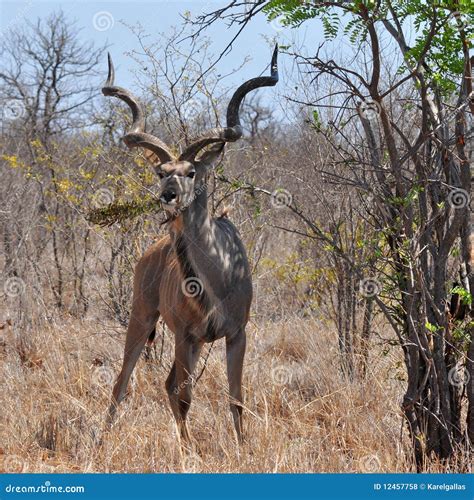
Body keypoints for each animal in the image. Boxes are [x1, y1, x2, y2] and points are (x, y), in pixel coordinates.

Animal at [103, 45, 278, 440]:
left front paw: (243, 447)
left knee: (163, 384)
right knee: (123, 382)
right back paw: (100, 442)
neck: (219, 274)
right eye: (161, 172)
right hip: (143, 317)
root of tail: (149, 253)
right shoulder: (185, 334)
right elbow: (185, 397)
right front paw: (190, 450)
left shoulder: (236, 334)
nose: (168, 196)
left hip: (189, 342)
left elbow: (236, 398)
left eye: (192, 171)